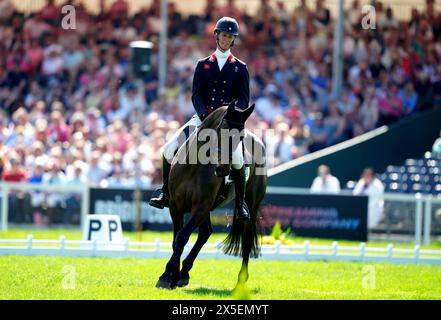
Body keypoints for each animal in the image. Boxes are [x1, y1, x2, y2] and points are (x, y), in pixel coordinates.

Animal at [156, 102, 266, 290]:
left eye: (241, 135)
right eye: (224, 128)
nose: (223, 170)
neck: (194, 165)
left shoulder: (201, 206)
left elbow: (183, 236)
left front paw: (166, 275)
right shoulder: (175, 206)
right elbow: (176, 239)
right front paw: (171, 277)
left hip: (251, 205)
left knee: (246, 239)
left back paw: (241, 282)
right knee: (206, 232)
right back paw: (184, 274)